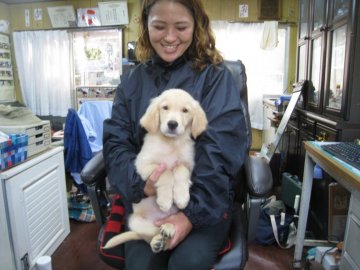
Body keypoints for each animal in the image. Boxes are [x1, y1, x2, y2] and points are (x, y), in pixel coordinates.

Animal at [102, 89, 207, 253]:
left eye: (185, 110)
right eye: (165, 108)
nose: (172, 124)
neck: (171, 143)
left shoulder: (188, 165)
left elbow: (180, 170)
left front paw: (181, 197)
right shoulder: (143, 164)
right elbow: (166, 173)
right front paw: (165, 200)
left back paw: (168, 229)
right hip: (135, 221)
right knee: (150, 234)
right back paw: (157, 240)